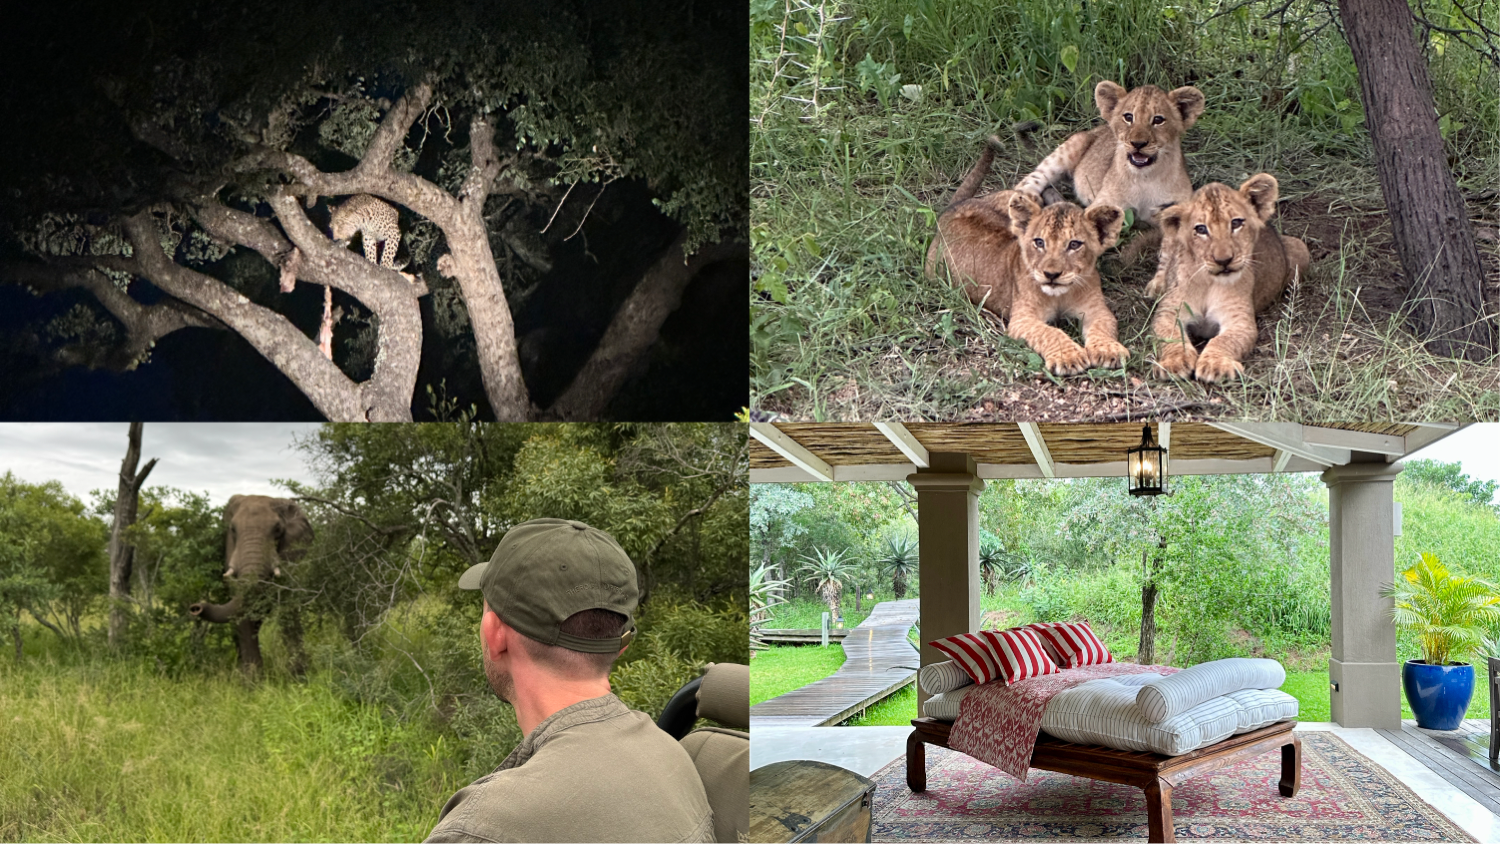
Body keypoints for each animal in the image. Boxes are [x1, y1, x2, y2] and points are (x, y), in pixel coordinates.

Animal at [189, 494, 312, 673]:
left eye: (277, 529)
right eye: (233, 529)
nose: (195, 608)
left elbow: (288, 603)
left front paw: (299, 674)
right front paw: (252, 678)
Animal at [926, 138, 1130, 376]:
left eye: (1074, 244)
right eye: (1039, 242)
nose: (1051, 274)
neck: (1060, 295)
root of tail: (951, 209)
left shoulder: (1096, 309)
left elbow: (1102, 326)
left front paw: (1109, 350)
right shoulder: (1022, 319)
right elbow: (1050, 332)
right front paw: (1068, 357)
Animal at [1013, 80, 1205, 296]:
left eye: (1158, 120)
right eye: (1128, 117)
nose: (1138, 143)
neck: (1146, 177)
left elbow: (1170, 253)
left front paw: (1158, 284)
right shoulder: (1104, 203)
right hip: (1069, 149)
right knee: (1028, 182)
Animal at [1149, 173, 1311, 383]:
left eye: (1236, 223)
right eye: (1201, 229)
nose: (1224, 260)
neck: (1209, 282)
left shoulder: (1239, 320)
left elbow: (1223, 340)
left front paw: (1215, 365)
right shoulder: (1169, 312)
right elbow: (1172, 336)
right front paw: (1174, 362)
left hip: (1301, 248)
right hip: (1169, 238)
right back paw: (1156, 287)